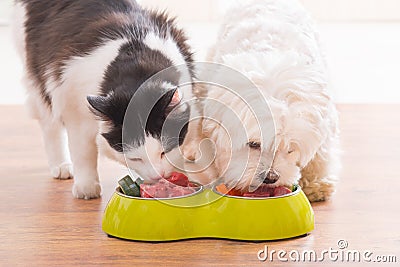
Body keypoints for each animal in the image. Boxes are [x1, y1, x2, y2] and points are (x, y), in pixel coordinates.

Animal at [13, 0, 197, 200]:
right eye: (135, 158)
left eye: (163, 152)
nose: (158, 176)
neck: (136, 66)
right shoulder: (75, 107)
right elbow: (83, 152)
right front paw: (86, 187)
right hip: (40, 79)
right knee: (49, 123)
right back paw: (61, 166)